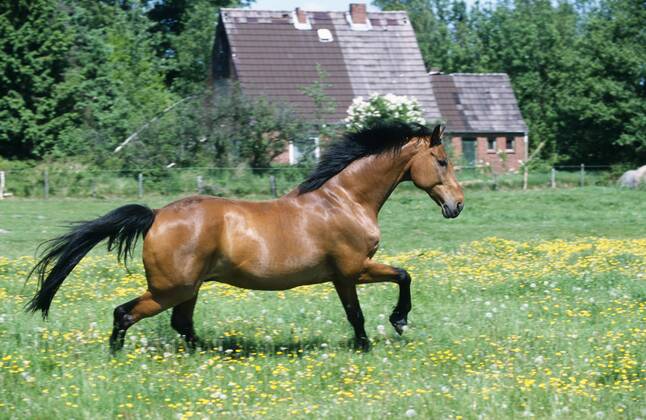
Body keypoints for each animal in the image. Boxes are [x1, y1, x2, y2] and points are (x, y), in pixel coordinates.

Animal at [26, 122, 464, 352]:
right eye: (442, 161)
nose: (457, 205)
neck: (344, 200)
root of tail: (155, 216)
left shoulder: (342, 276)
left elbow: (358, 310)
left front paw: (367, 342)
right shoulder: (354, 268)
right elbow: (400, 278)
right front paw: (395, 324)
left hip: (188, 288)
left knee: (180, 324)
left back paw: (208, 354)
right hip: (171, 288)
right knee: (125, 313)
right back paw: (119, 357)